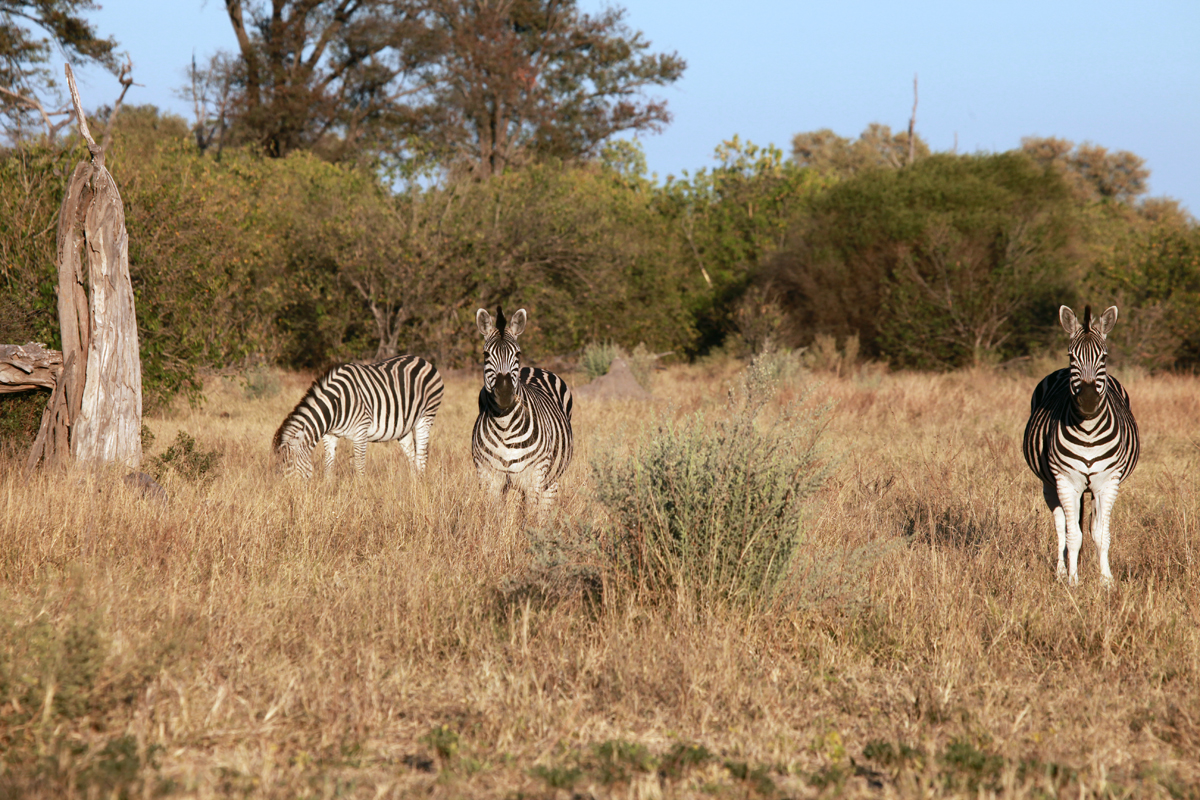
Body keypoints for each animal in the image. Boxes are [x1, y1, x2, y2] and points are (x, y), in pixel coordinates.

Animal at [274, 357, 444, 482]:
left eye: (290, 466)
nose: (292, 496)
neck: (337, 405)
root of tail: (423, 360)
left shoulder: (361, 432)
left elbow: (359, 467)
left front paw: (361, 496)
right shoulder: (330, 435)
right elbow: (328, 466)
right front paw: (328, 491)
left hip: (426, 416)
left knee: (422, 456)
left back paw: (420, 486)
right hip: (404, 427)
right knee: (412, 456)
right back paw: (413, 484)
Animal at [470, 303, 573, 515]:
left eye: (518, 354)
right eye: (485, 355)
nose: (504, 391)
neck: (504, 425)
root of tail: (534, 368)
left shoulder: (535, 475)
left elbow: (530, 517)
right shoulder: (488, 475)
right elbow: (495, 516)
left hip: (551, 479)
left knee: (543, 512)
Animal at [1022, 303, 1142, 585]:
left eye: (1104, 357)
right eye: (1071, 356)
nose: (1088, 401)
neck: (1088, 430)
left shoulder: (1109, 482)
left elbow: (1101, 534)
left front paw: (1106, 581)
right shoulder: (1066, 481)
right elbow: (1072, 535)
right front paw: (1072, 580)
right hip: (1050, 484)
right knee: (1061, 526)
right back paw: (1060, 571)